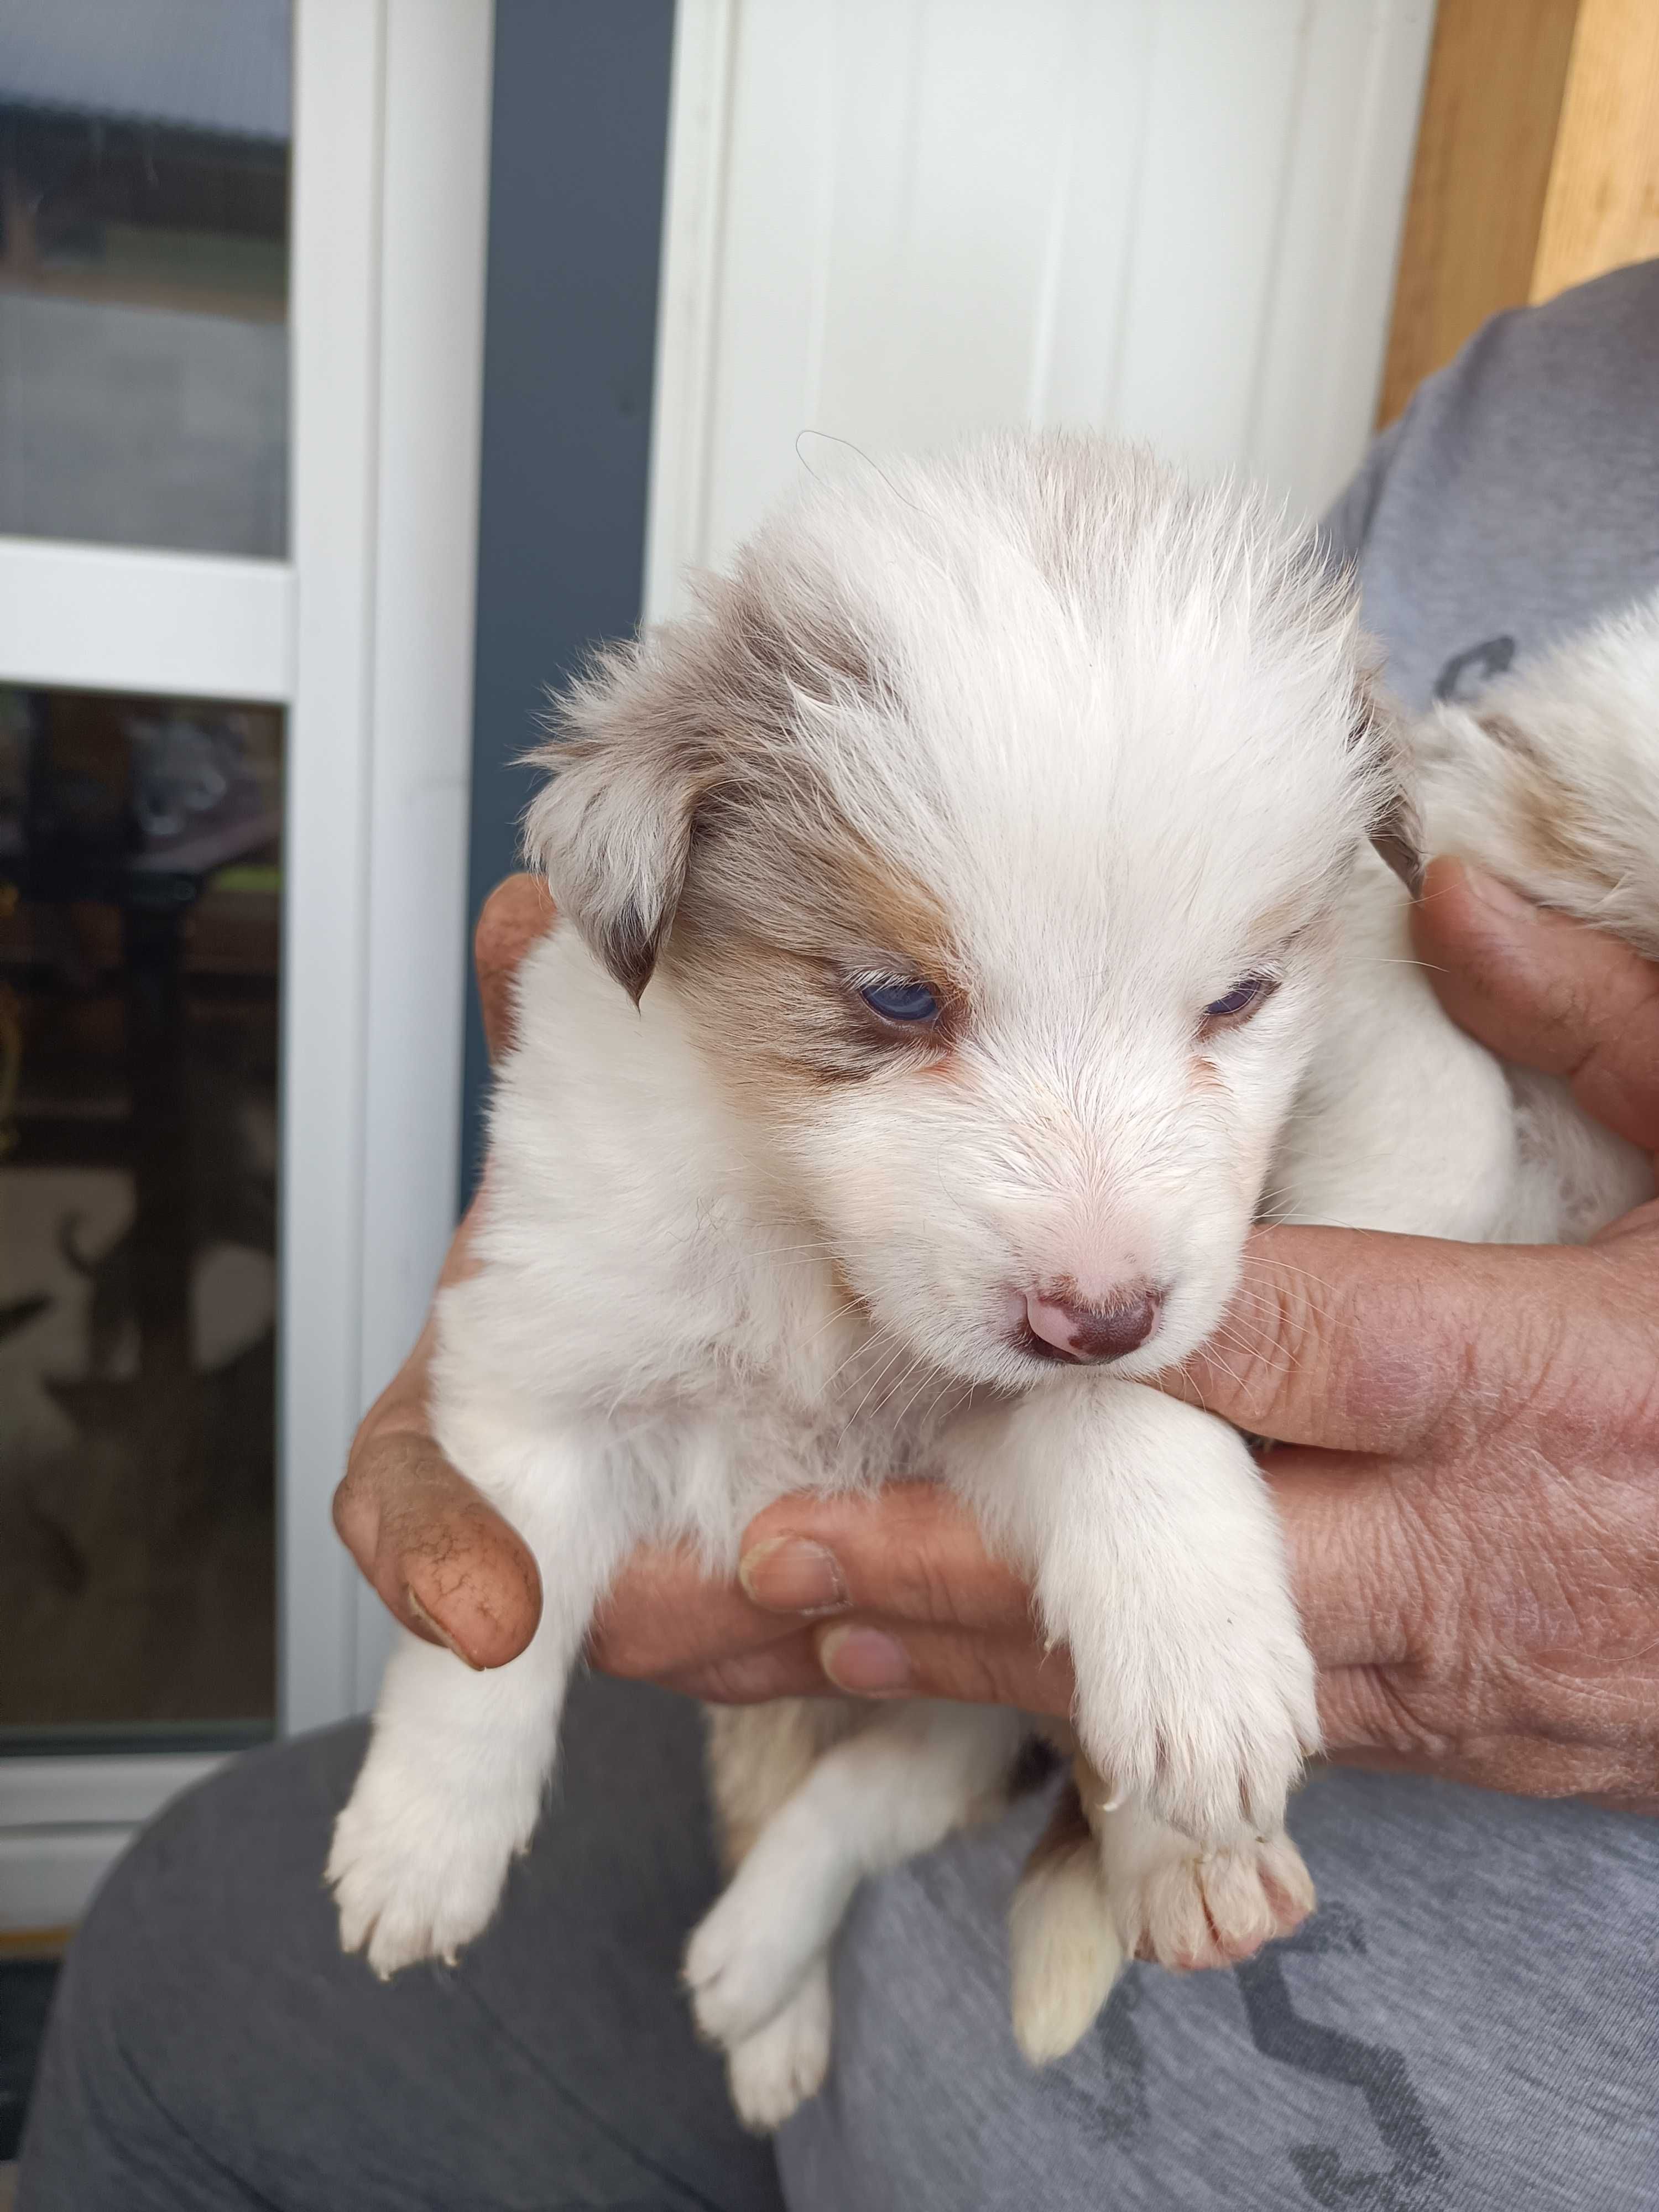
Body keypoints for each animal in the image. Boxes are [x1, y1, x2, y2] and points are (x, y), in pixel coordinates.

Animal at [327, 427, 1659, 2124]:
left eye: (1239, 997)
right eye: (897, 998)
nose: (1095, 1315)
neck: (811, 1259)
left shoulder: (988, 1426)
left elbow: (1124, 1435)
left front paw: (1204, 1665)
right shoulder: (545, 1360)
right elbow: (492, 1614)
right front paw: (421, 1843)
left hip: (964, 1702)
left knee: (870, 1794)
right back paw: (765, 2007)